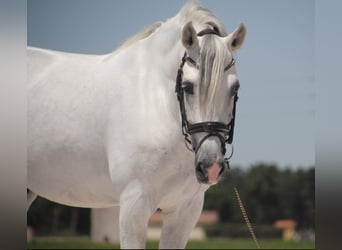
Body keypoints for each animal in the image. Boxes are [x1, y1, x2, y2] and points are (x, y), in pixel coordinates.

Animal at [26, 1, 246, 248]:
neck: (156, 104)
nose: (211, 166)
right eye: (187, 86)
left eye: (235, 88)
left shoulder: (184, 211)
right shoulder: (134, 206)